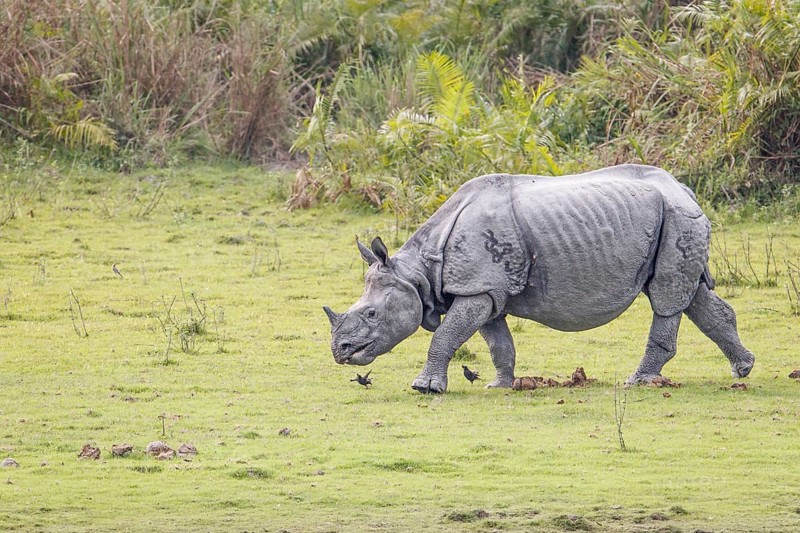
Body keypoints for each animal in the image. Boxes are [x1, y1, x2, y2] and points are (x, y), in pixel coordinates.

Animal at [323, 165, 755, 393]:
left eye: (372, 315)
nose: (340, 352)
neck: (418, 273)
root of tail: (684, 188)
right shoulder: (488, 290)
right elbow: (498, 343)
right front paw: (500, 386)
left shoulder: (479, 288)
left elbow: (445, 335)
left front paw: (425, 388)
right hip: (676, 219)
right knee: (692, 294)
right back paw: (743, 370)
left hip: (678, 217)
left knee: (666, 298)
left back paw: (636, 382)